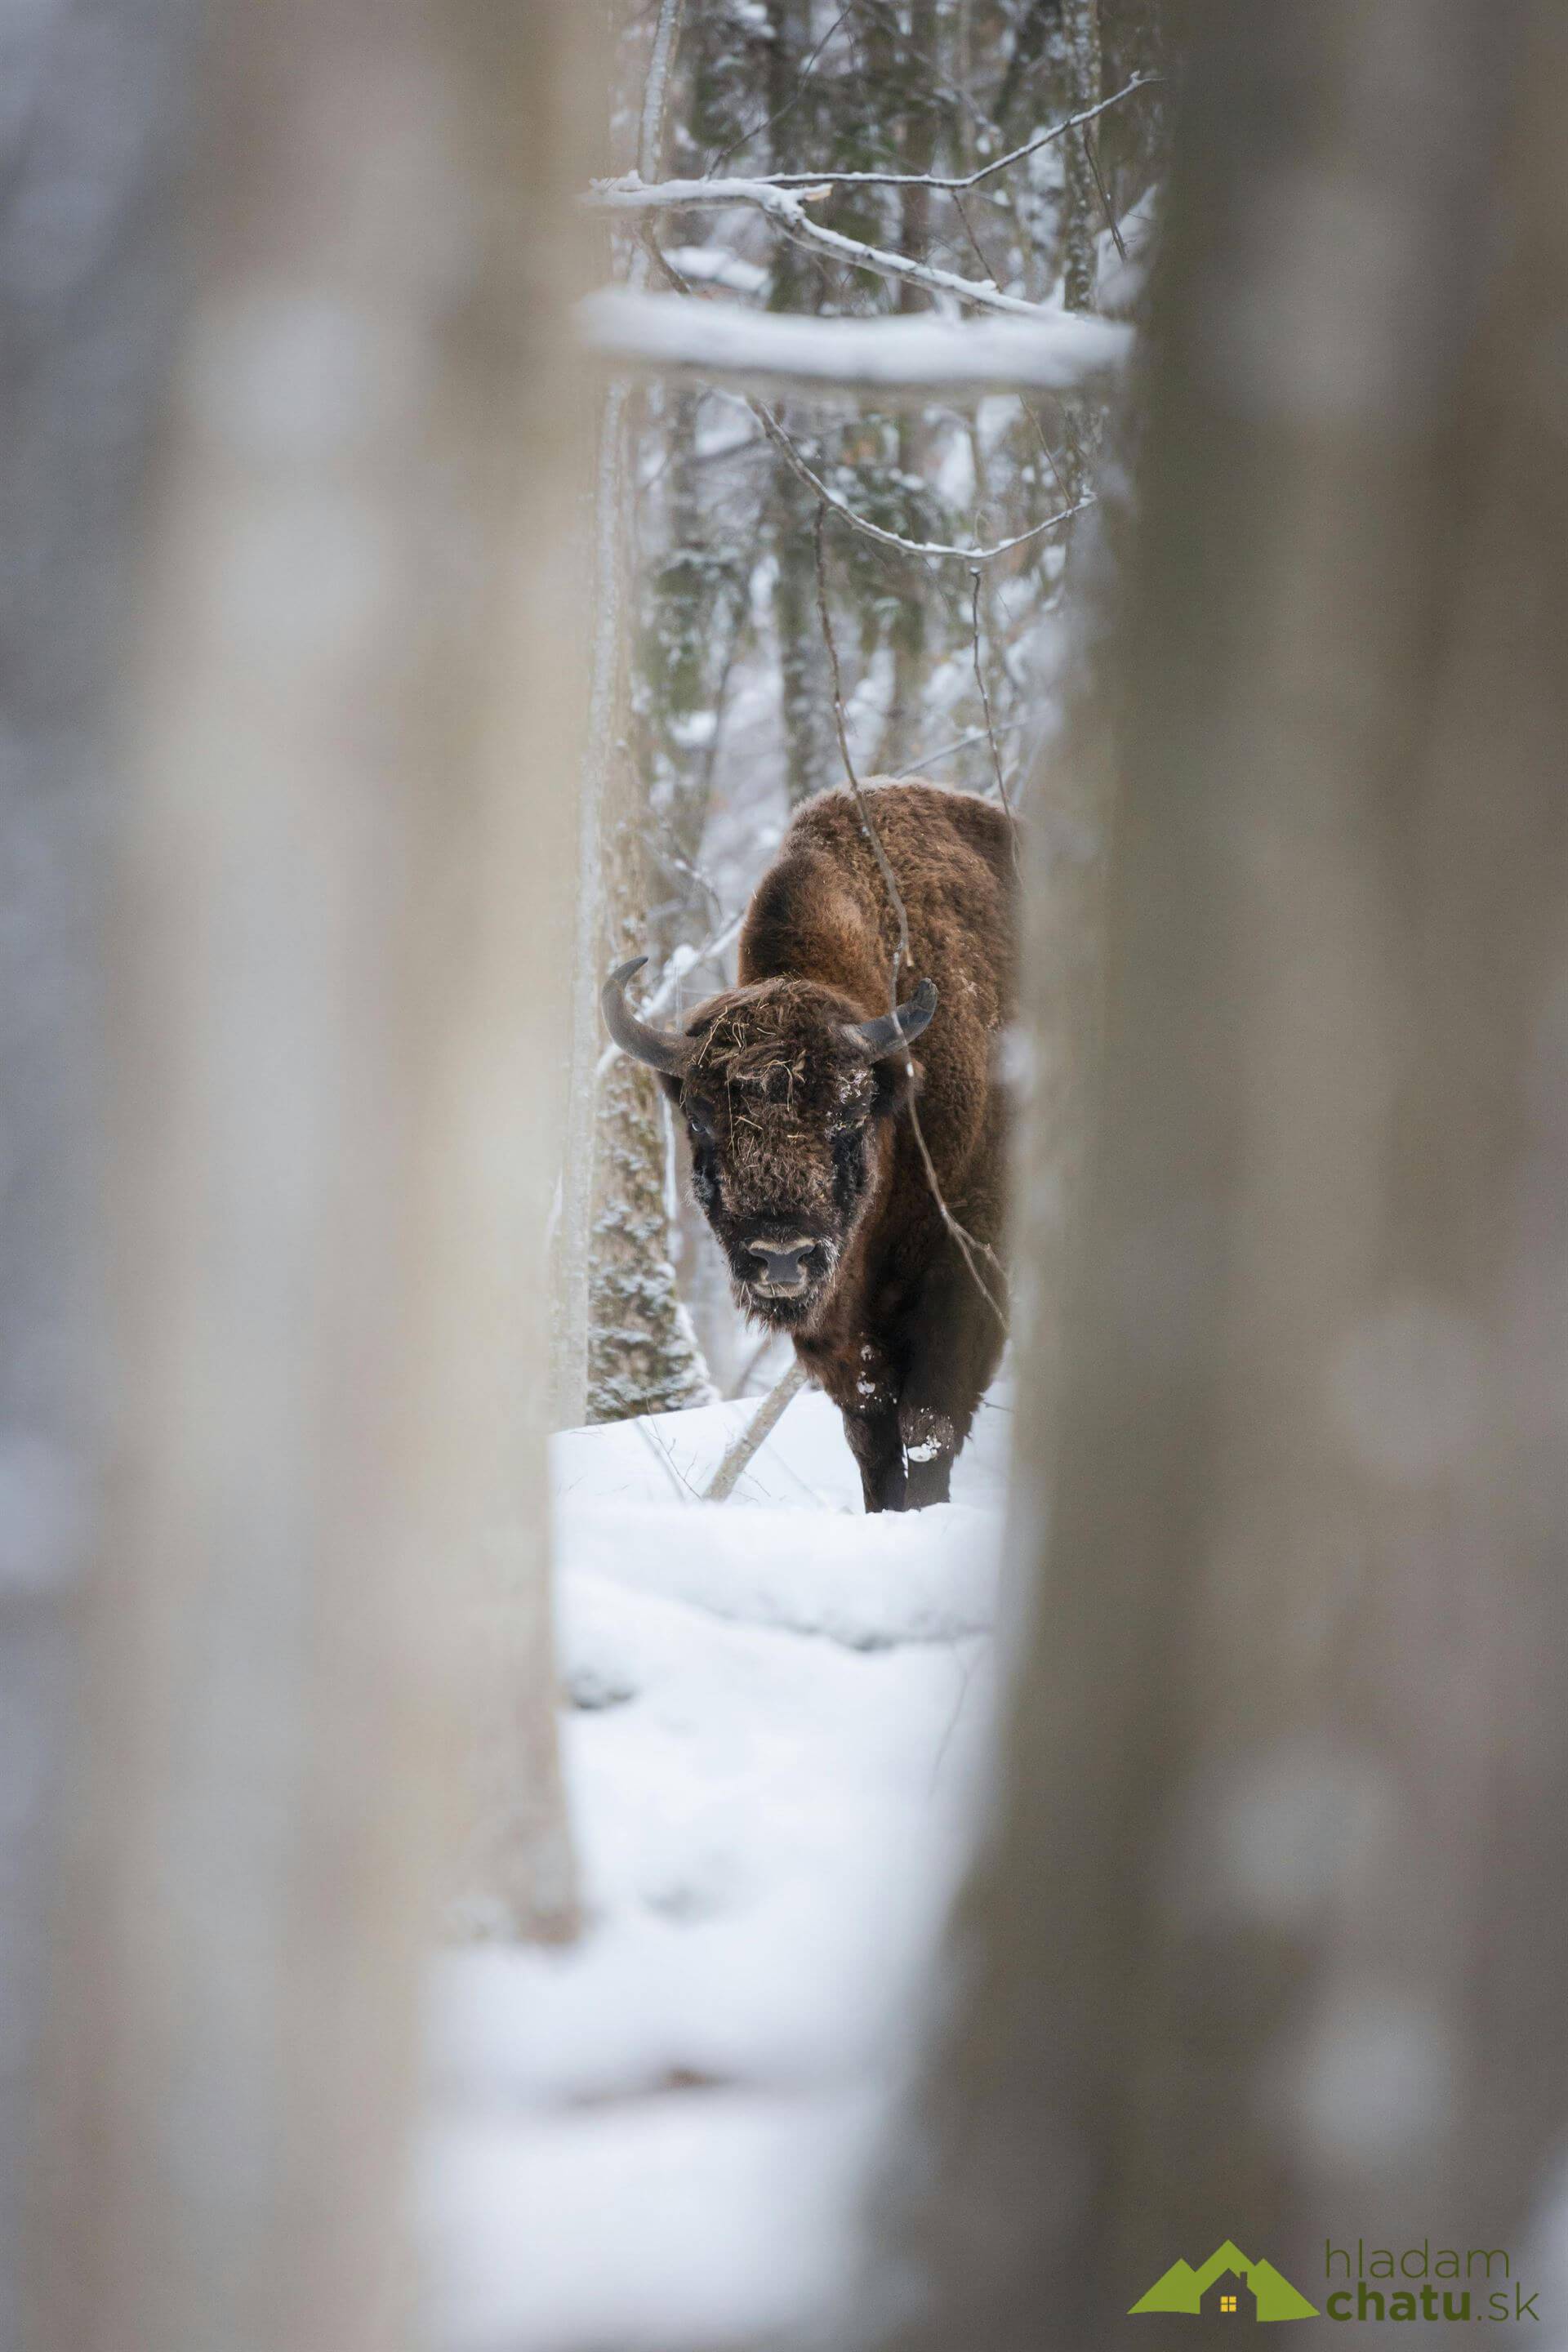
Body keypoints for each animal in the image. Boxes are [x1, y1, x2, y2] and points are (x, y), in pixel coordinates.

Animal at [601, 781, 1020, 1514]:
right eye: (700, 1119)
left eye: (849, 1115)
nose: (781, 1256)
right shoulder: (843, 1334)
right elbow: (872, 1436)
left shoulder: (967, 1267)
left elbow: (928, 1428)